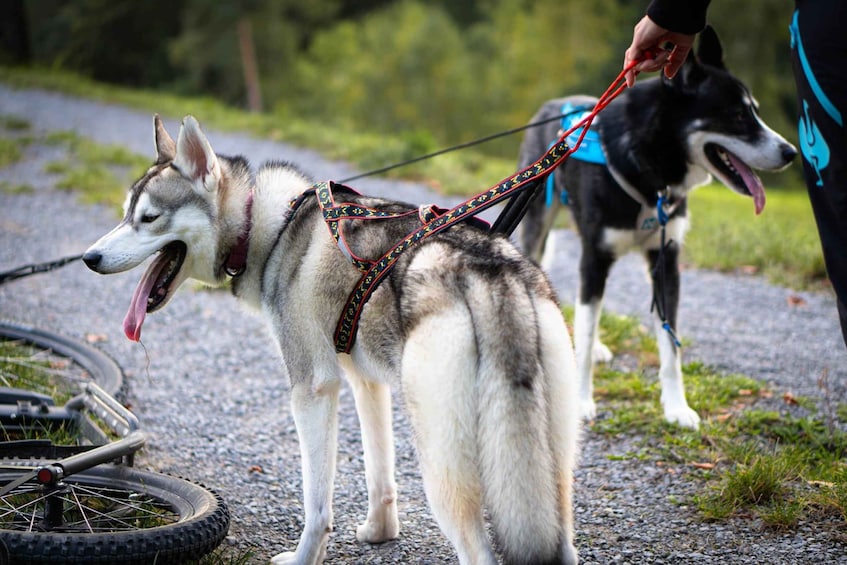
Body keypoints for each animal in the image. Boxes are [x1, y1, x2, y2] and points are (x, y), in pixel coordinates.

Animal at [512, 26, 800, 428]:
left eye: (754, 111)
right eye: (738, 115)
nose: (791, 153)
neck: (649, 168)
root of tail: (552, 104)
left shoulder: (666, 260)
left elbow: (669, 346)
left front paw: (676, 407)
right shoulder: (595, 257)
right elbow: (585, 329)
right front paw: (583, 400)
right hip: (537, 226)